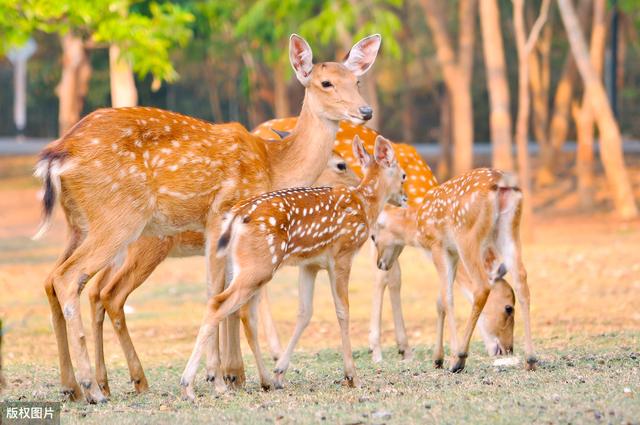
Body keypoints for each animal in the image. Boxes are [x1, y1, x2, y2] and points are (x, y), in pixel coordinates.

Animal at [86, 148, 360, 394]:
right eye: (340, 164)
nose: (357, 184)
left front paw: (229, 375)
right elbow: (233, 306)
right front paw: (228, 376)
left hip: (116, 256)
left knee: (94, 290)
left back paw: (98, 385)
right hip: (146, 252)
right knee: (109, 293)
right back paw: (136, 382)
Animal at [178, 134, 408, 400]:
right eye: (403, 175)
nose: (405, 198)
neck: (364, 205)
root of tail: (236, 217)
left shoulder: (310, 264)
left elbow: (304, 312)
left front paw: (280, 373)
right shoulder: (342, 255)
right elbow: (343, 311)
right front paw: (352, 376)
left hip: (240, 266)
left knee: (238, 311)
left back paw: (259, 380)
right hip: (259, 265)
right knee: (220, 304)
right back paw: (189, 385)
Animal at [370, 205, 516, 362]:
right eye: (508, 308)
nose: (508, 349)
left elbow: (393, 276)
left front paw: (404, 350)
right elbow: (384, 275)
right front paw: (377, 351)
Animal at [408, 169, 536, 372]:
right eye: (508, 308)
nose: (508, 349)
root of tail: (503, 182)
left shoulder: (438, 245)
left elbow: (447, 298)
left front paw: (450, 356)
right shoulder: (452, 252)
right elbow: (440, 300)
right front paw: (437, 359)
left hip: (467, 235)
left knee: (482, 286)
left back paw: (459, 358)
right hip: (509, 231)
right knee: (522, 279)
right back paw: (530, 360)